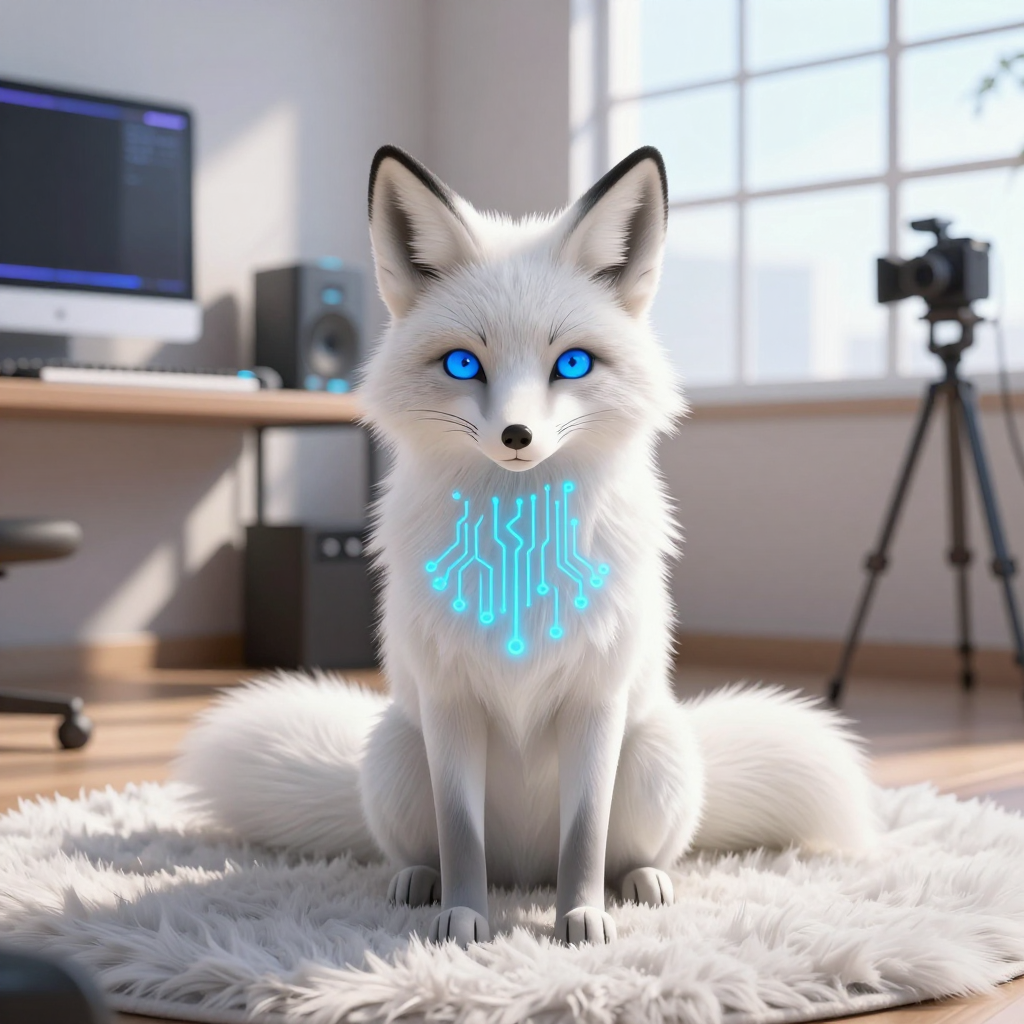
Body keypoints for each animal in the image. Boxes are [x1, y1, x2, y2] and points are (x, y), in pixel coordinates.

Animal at [177, 145, 877, 948]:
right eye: (462, 364)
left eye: (572, 364)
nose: (517, 436)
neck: (517, 555)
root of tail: (523, 872)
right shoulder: (449, 702)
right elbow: (460, 834)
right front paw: (463, 919)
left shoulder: (596, 701)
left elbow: (586, 834)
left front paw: (580, 919)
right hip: (397, 753)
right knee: (423, 848)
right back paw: (418, 883)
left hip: (655, 757)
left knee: (629, 850)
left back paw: (639, 883)